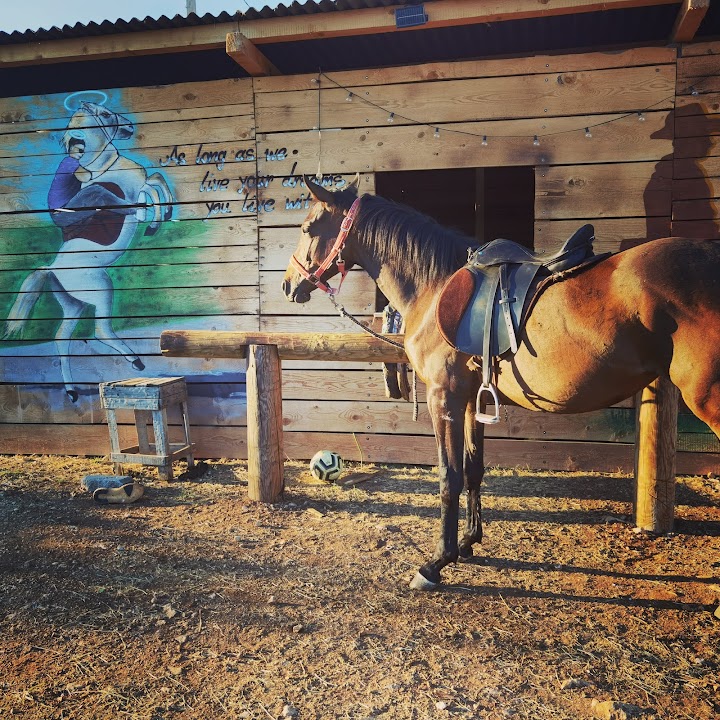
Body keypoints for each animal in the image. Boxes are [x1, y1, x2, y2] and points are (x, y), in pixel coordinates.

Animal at [2, 100, 173, 402]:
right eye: (105, 114)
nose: (129, 127)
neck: (106, 170)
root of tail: (53, 270)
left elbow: (156, 180)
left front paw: (161, 214)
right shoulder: (131, 195)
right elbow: (151, 188)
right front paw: (154, 220)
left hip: (74, 304)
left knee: (62, 337)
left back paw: (72, 391)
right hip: (101, 290)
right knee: (100, 331)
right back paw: (136, 362)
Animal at [282, 175, 720, 591]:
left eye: (307, 228)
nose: (288, 284)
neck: (434, 284)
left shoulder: (444, 398)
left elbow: (449, 477)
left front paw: (436, 563)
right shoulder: (471, 400)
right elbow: (473, 470)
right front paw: (468, 543)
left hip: (708, 400)